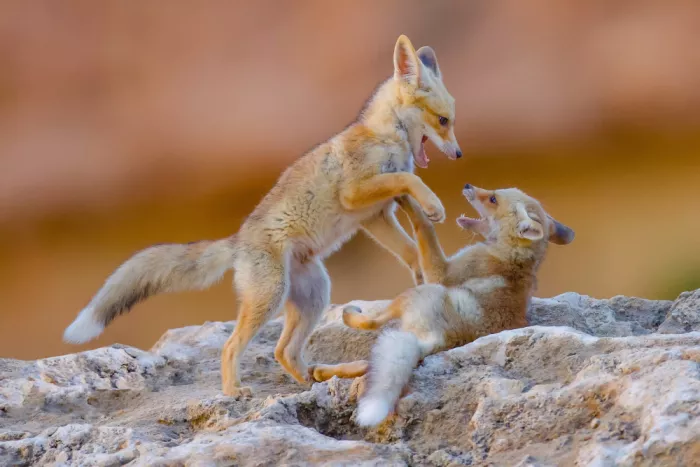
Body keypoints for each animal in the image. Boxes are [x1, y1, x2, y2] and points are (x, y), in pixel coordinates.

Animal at [62, 35, 462, 397]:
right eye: (443, 120)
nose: (459, 154)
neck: (384, 137)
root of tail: (238, 241)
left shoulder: (375, 215)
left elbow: (408, 247)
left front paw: (420, 271)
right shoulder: (356, 194)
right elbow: (409, 178)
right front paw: (434, 206)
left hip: (313, 295)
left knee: (283, 352)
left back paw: (314, 381)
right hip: (270, 297)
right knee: (232, 346)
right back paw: (234, 390)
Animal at [308, 184, 575, 426]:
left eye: (492, 199)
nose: (467, 185)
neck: (511, 254)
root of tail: (442, 339)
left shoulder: (441, 274)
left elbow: (425, 229)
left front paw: (412, 201)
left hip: (420, 293)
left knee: (372, 325)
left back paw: (350, 317)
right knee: (369, 364)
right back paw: (321, 371)